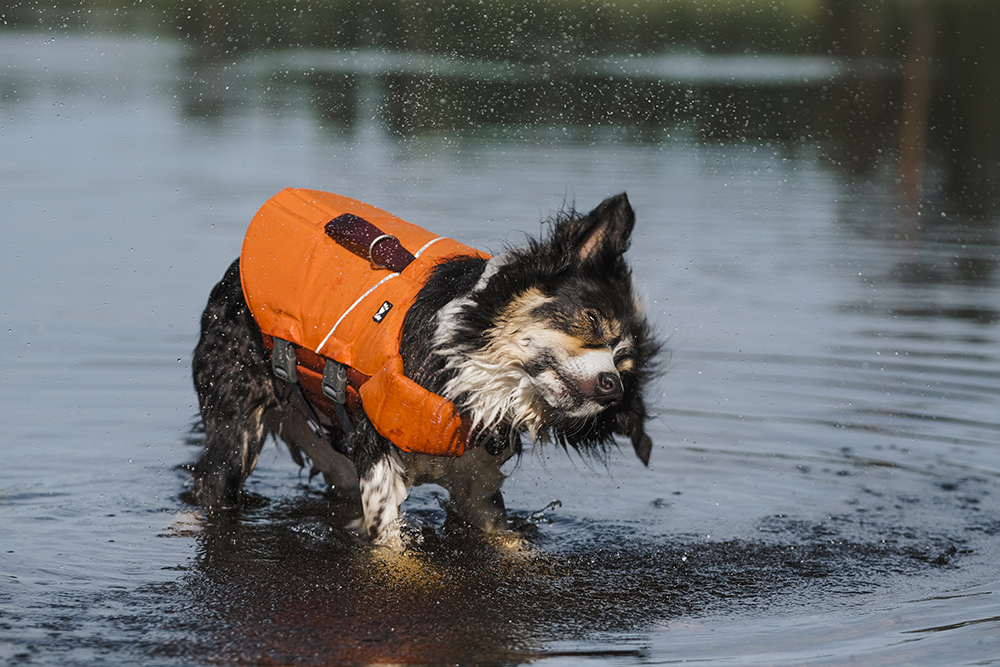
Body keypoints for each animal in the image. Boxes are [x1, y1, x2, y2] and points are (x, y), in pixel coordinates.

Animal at [191, 190, 660, 552]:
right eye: (592, 320)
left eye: (626, 366)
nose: (612, 387)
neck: (468, 373)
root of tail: (234, 272)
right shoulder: (377, 456)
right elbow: (394, 549)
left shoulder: (477, 481)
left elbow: (508, 540)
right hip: (236, 428)